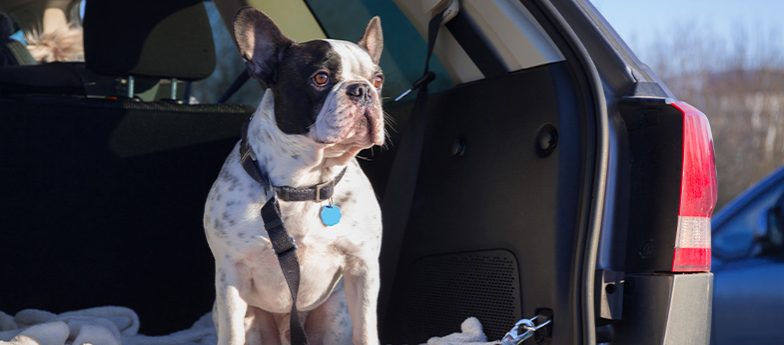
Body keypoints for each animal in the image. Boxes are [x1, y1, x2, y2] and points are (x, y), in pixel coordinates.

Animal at [204, 7, 384, 344]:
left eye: (378, 80)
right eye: (320, 78)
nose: (363, 90)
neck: (304, 182)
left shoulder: (362, 267)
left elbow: (367, 329)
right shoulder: (231, 276)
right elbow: (231, 334)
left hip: (335, 312)